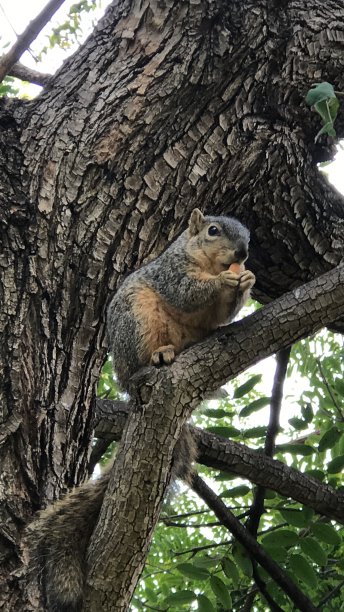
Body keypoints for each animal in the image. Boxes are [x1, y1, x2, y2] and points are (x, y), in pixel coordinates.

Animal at [25, 208, 255, 608]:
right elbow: (188, 291)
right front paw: (225, 281)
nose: (242, 253)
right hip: (137, 319)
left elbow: (223, 314)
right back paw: (161, 355)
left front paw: (246, 280)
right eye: (213, 231)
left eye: (248, 237)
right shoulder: (172, 272)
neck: (204, 261)